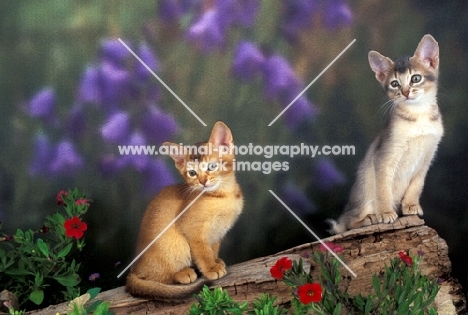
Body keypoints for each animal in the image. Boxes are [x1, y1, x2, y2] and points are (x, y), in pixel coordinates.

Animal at [126, 121, 243, 302]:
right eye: (192, 173)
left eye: (212, 166)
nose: (203, 181)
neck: (222, 196)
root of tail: (133, 270)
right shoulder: (192, 231)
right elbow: (203, 253)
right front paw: (211, 268)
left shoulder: (217, 233)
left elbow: (212, 249)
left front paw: (216, 261)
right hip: (175, 244)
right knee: (153, 277)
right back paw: (182, 274)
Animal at [328, 35, 444, 236]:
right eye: (394, 83)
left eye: (416, 78)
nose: (405, 92)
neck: (418, 116)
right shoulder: (384, 157)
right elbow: (383, 189)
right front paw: (386, 213)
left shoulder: (426, 158)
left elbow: (417, 185)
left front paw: (411, 205)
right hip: (361, 198)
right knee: (347, 223)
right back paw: (368, 219)